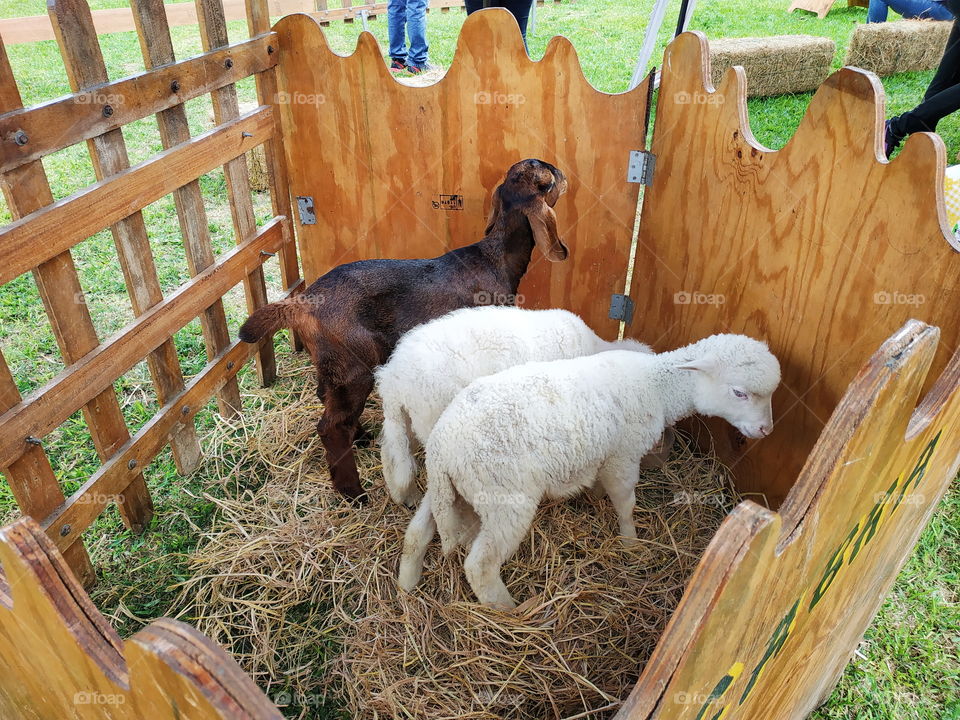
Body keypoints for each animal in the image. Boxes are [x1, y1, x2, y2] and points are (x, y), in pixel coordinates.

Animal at [238, 159, 569, 501]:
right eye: (547, 176)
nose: (563, 173)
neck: (495, 259)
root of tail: (303, 305)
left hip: (333, 362)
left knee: (327, 398)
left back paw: (360, 438)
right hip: (355, 363)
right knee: (331, 426)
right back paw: (353, 492)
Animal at [375, 305, 654, 507]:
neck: (596, 349)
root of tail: (394, 377)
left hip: (405, 419)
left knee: (392, 455)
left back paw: (404, 497)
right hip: (430, 417)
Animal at [398, 333, 781, 608]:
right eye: (740, 392)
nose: (766, 431)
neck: (657, 386)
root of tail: (443, 448)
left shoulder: (605, 457)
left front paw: (597, 501)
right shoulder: (624, 456)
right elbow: (625, 502)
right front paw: (631, 543)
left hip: (449, 490)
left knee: (418, 531)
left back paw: (407, 583)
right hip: (506, 499)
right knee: (480, 566)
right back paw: (513, 610)